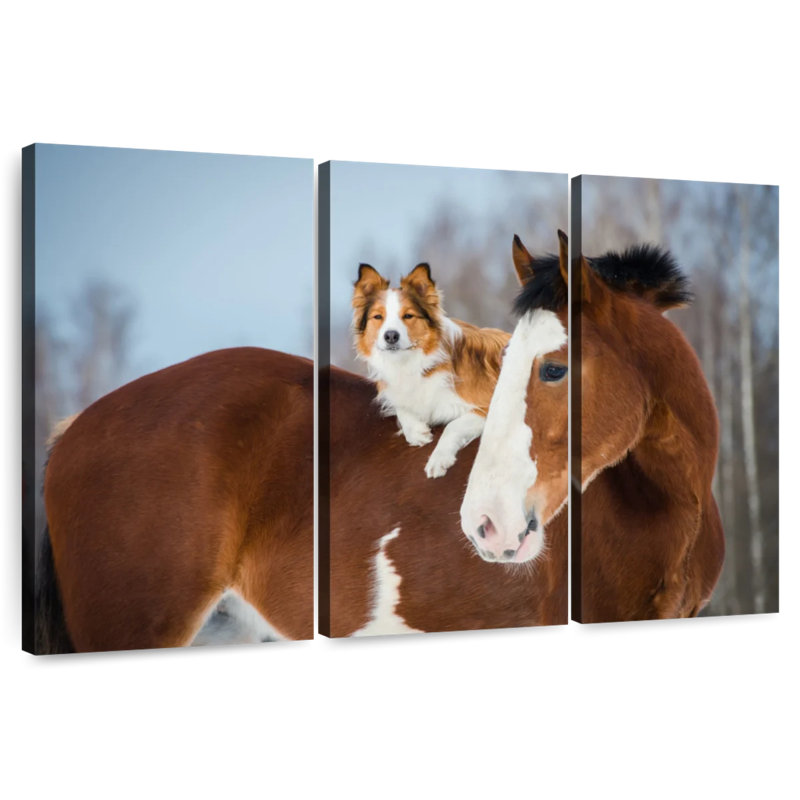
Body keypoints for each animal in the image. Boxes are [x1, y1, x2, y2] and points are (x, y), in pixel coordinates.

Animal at [320, 236, 568, 636]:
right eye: (378, 318)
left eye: (408, 317)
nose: (390, 336)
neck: (412, 365)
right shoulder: (401, 393)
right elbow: (404, 408)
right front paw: (417, 432)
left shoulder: (484, 406)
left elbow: (452, 425)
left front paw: (437, 459)